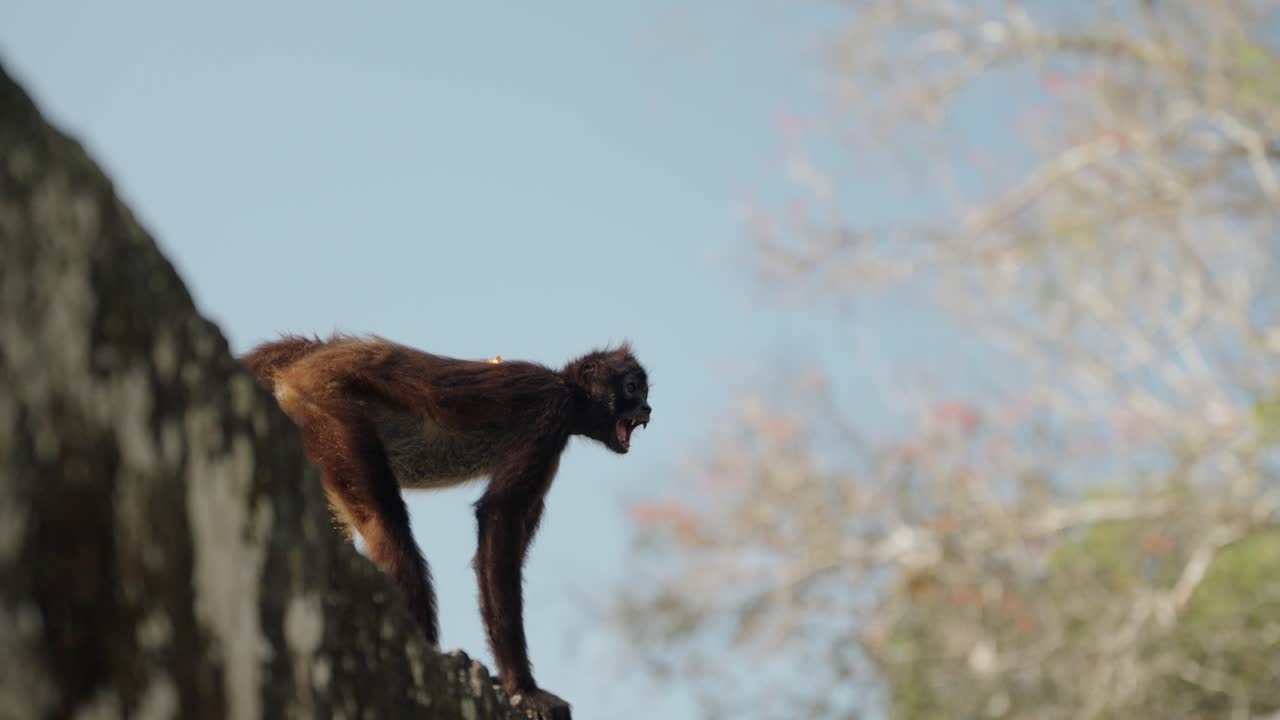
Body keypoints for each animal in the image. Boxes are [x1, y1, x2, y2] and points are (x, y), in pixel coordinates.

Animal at [240, 333, 651, 720]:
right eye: (633, 387)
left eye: (646, 392)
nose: (647, 408)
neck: (567, 388)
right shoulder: (549, 412)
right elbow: (498, 519)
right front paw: (523, 687)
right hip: (328, 411)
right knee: (384, 521)